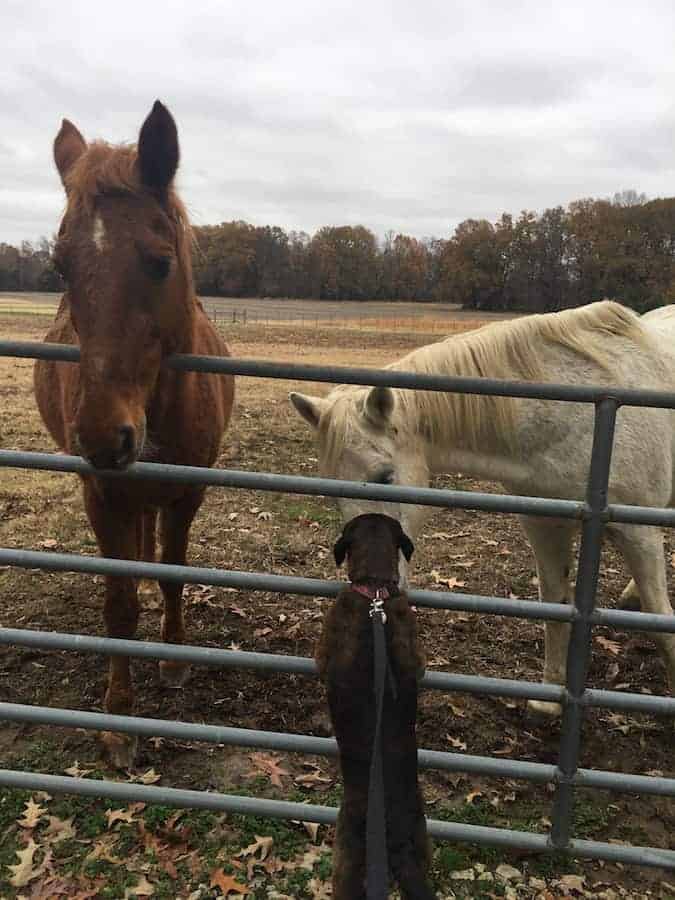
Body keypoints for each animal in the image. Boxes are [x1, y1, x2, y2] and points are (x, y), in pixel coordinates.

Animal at [34, 103, 235, 768]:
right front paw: (119, 723)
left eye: (160, 260)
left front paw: (171, 660)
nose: (103, 436)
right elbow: (118, 604)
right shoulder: (101, 493)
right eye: (60, 266)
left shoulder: (188, 492)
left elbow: (174, 569)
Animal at [290, 304, 675, 716]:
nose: (370, 588)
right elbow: (556, 605)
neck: (576, 418)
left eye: (384, 477)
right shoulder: (544, 524)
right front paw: (548, 703)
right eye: (333, 494)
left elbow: (658, 617)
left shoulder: (638, 531)